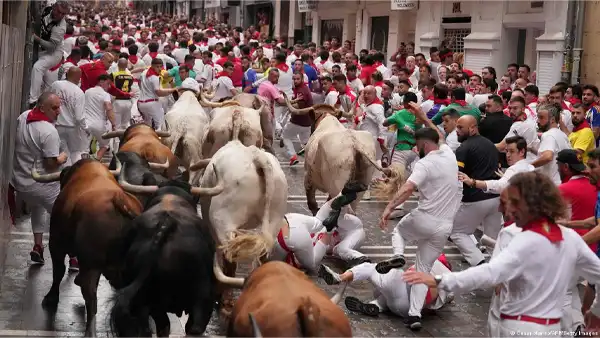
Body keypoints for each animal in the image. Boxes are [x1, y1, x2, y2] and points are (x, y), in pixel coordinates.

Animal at [32, 156, 143, 338]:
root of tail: (120, 201)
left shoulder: (56, 244)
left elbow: (58, 271)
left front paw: (51, 298)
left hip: (91, 265)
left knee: (91, 299)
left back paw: (89, 331)